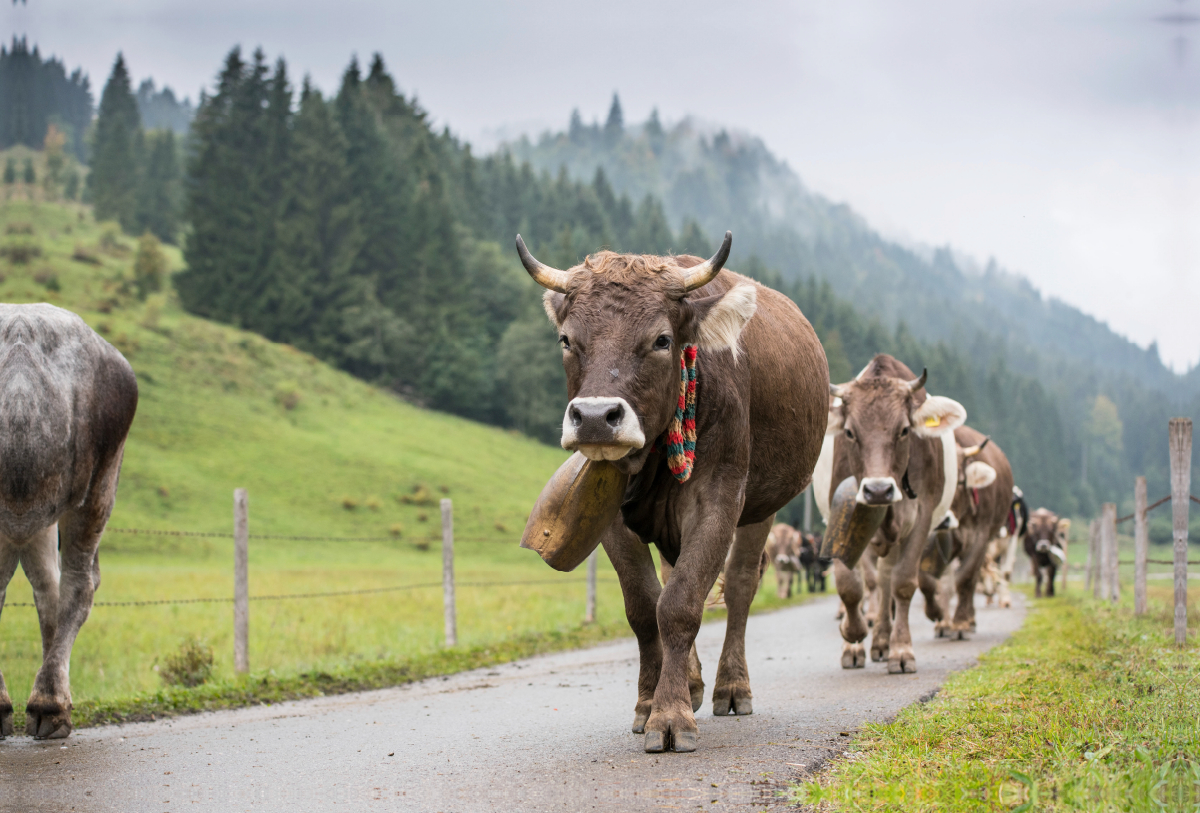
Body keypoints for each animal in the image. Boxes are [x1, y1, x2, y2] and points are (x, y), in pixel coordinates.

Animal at [511, 232, 830, 753]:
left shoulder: (719, 497)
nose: (595, 418)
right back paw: (694, 683)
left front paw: (671, 716)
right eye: (567, 340)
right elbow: (646, 606)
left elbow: (680, 604)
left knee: (740, 585)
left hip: (761, 509)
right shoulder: (610, 517)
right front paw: (648, 704)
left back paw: (730, 687)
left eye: (662, 340)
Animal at [820, 357, 969, 676]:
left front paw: (901, 650)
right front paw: (852, 635)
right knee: (876, 581)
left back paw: (883, 641)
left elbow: (902, 583)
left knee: (888, 578)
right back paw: (867, 643)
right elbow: (851, 584)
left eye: (904, 430)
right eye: (849, 432)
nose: (878, 490)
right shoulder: (843, 512)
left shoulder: (923, 516)